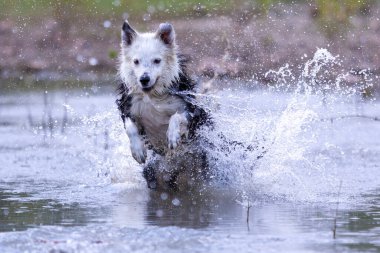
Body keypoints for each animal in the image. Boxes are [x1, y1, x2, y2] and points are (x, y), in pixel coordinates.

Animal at [116, 20, 211, 191]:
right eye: (136, 61)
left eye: (157, 60)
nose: (144, 79)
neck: (152, 96)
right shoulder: (127, 105)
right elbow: (130, 127)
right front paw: (138, 150)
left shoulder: (191, 109)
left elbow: (176, 117)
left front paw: (172, 136)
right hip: (153, 171)